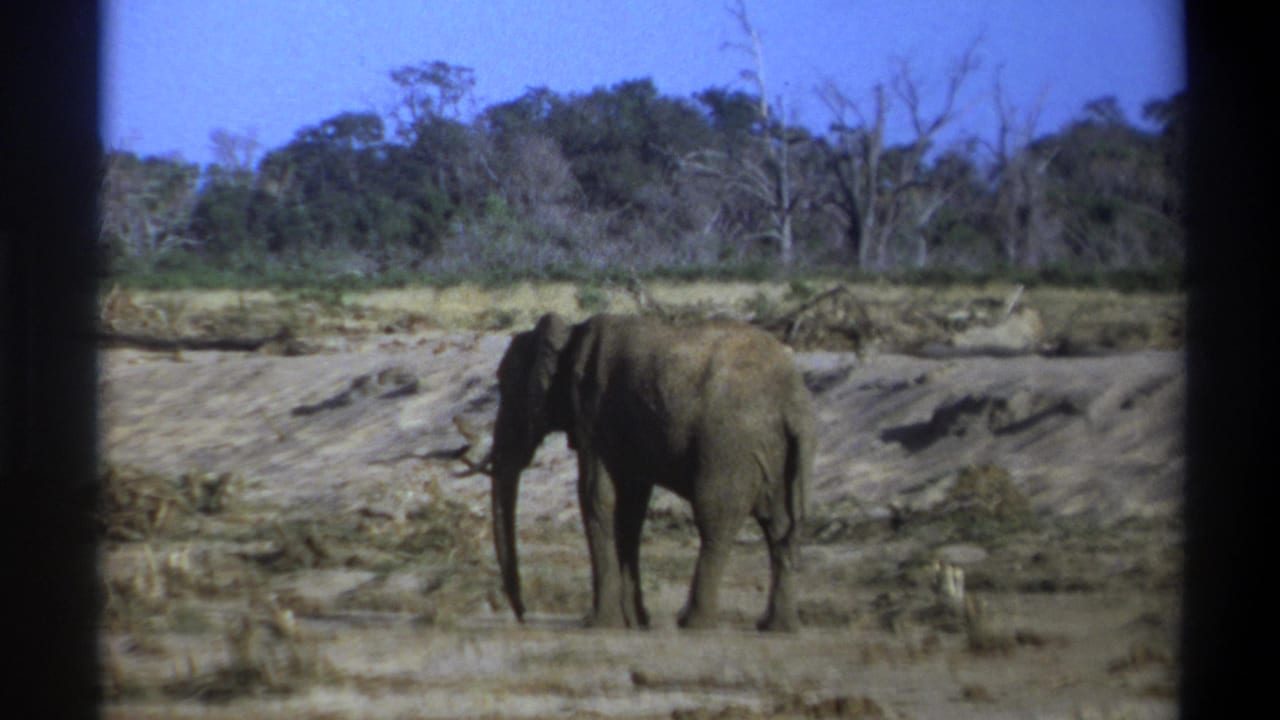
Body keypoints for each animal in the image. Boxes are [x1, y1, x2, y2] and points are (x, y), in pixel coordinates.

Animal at [487, 312, 815, 631]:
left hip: (730, 445)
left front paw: (598, 624)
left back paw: (693, 623)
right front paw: (635, 622)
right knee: (778, 525)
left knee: (715, 520)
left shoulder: (593, 413)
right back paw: (777, 626)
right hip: (775, 451)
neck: (571, 332)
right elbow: (630, 507)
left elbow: (597, 498)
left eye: (504, 386)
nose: (524, 615)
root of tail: (794, 402)